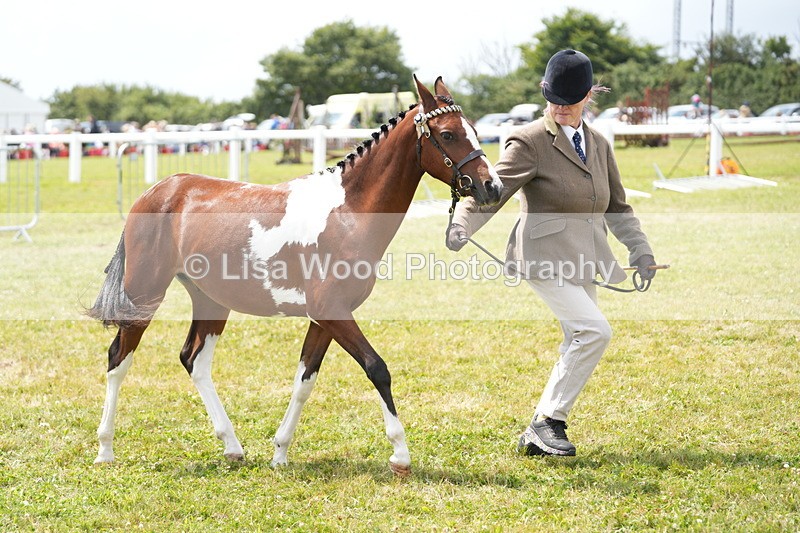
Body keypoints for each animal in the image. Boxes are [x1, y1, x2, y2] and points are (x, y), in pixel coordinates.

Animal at [87, 76, 501, 476]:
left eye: (475, 130)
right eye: (447, 134)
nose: (492, 186)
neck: (348, 212)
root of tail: (156, 191)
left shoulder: (325, 318)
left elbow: (305, 381)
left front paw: (280, 453)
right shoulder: (333, 312)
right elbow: (377, 368)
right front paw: (400, 455)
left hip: (211, 301)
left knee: (194, 360)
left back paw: (232, 447)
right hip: (146, 292)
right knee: (118, 358)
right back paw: (105, 449)